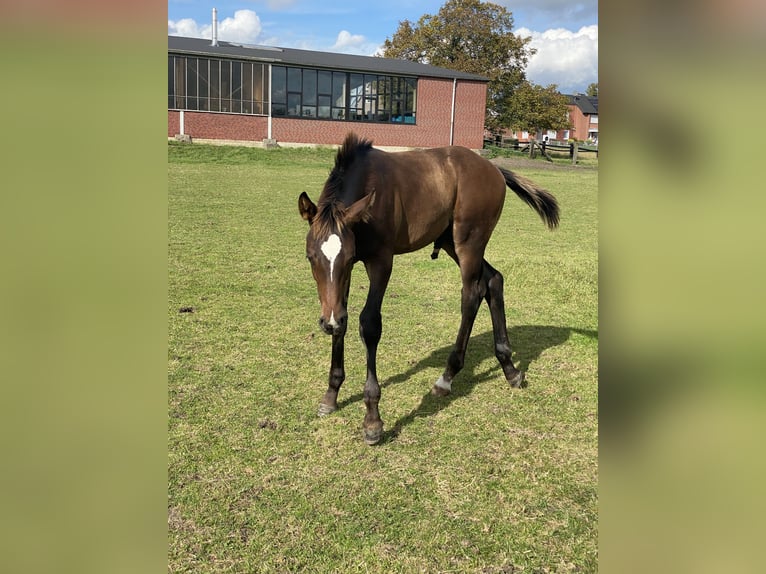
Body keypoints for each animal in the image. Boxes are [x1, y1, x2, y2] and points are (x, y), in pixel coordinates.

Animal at [298, 134, 560, 446]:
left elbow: (369, 324)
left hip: (468, 241)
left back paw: (446, 377)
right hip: (448, 241)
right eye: (310, 257)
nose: (327, 322)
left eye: (348, 257)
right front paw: (331, 394)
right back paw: (509, 368)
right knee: (493, 280)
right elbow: (343, 320)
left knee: (471, 295)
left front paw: (373, 420)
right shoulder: (340, 284)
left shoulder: (380, 262)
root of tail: (494, 169)